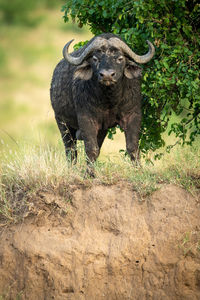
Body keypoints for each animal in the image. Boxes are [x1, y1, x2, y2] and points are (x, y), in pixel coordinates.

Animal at [50, 33, 155, 169]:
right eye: (95, 59)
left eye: (120, 58)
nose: (107, 75)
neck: (110, 100)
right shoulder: (86, 119)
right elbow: (91, 149)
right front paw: (89, 173)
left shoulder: (133, 115)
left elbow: (132, 148)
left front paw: (139, 170)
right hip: (62, 122)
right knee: (71, 150)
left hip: (101, 130)